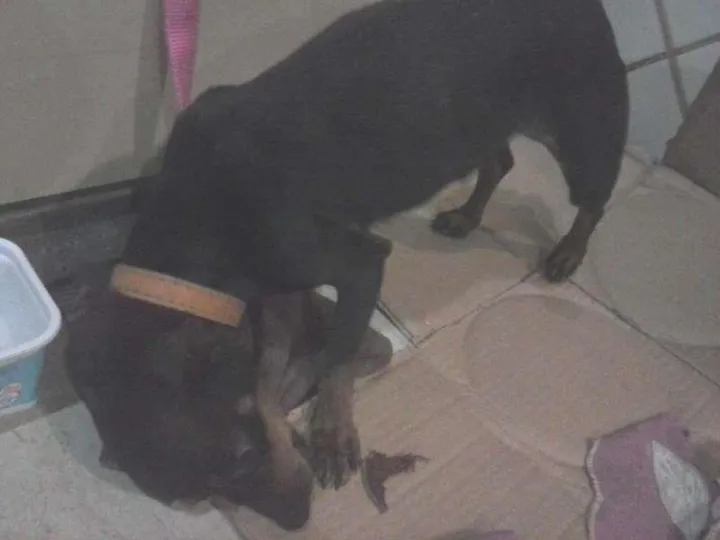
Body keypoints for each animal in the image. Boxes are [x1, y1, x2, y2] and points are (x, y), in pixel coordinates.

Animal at [74, 0, 627, 527]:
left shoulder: (357, 263)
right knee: (499, 161)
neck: (193, 231)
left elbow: (335, 352)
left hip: (583, 125)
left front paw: (328, 431)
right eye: (198, 498)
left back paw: (568, 252)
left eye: (243, 456)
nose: (297, 520)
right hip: (486, 119)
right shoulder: (277, 287)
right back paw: (466, 217)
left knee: (594, 199)